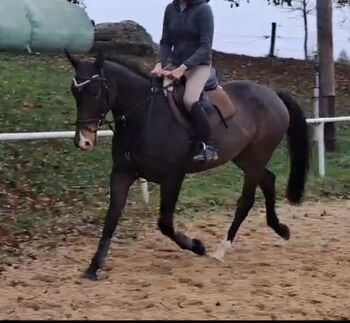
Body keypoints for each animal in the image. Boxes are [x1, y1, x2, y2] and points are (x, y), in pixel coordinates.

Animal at [65, 51, 308, 280]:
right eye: (74, 93)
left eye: (95, 92)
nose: (83, 141)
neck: (145, 117)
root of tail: (272, 94)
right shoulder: (122, 174)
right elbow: (111, 219)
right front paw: (93, 268)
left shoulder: (172, 178)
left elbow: (165, 224)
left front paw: (198, 246)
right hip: (245, 158)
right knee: (268, 180)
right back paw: (281, 230)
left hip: (256, 158)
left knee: (246, 200)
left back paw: (222, 249)